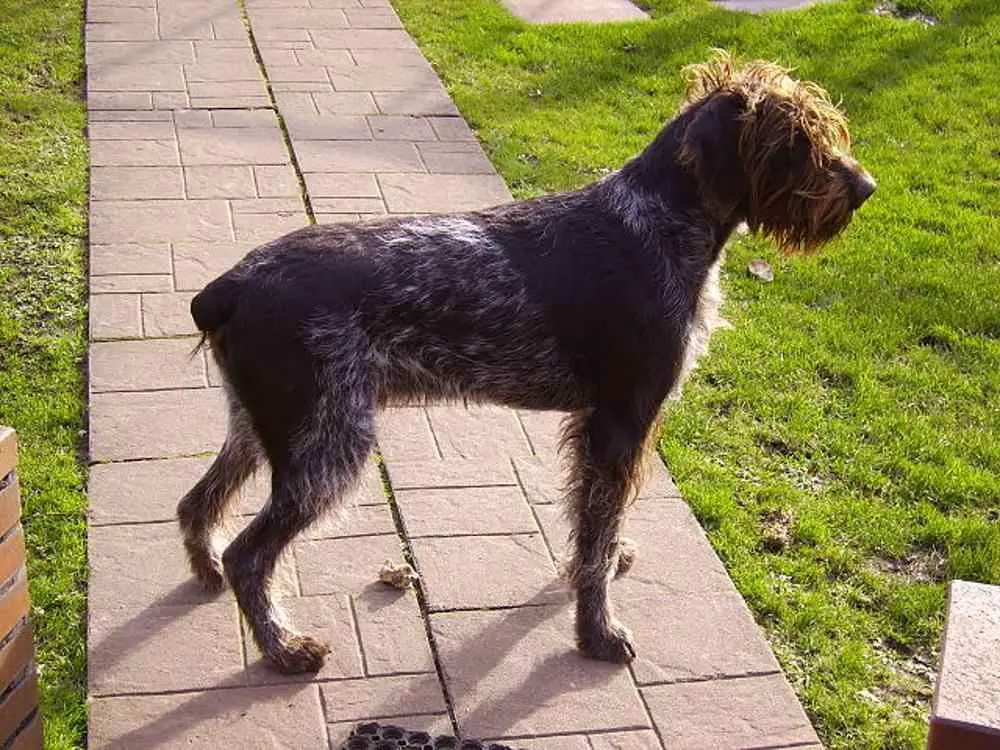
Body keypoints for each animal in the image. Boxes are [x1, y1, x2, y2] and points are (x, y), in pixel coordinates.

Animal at [178, 53, 876, 676]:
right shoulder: (621, 420)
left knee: (196, 503)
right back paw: (282, 647)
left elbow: (594, 525)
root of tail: (229, 287)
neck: (661, 222)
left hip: (265, 427)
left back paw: (206, 572)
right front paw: (598, 631)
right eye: (795, 140)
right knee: (249, 555)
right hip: (327, 445)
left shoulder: (598, 426)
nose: (864, 188)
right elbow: (596, 534)